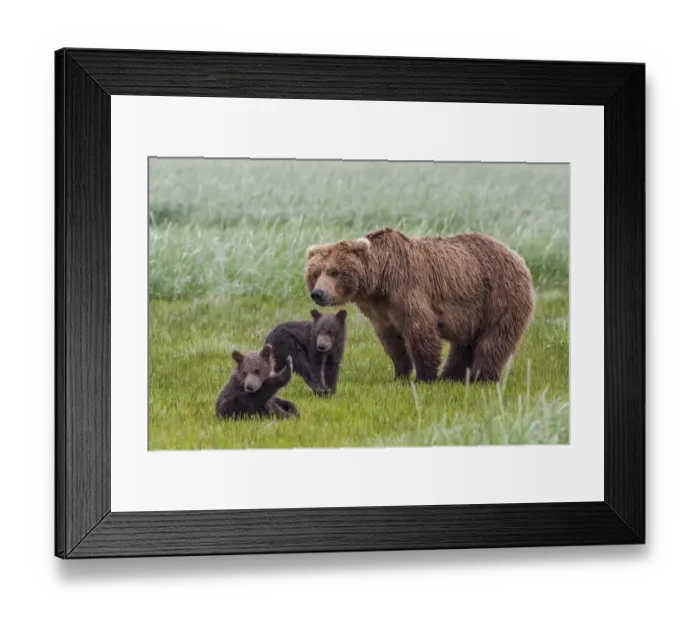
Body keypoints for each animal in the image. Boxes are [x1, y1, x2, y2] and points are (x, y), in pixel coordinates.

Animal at [304, 226, 535, 384]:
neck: (379, 282)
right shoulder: (380, 312)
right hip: (473, 310)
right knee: (464, 343)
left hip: (499, 295)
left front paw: (424, 377)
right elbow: (392, 342)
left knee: (494, 339)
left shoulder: (407, 290)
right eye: (315, 273)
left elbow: (420, 332)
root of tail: (517, 256)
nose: (318, 293)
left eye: (334, 271)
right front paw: (400, 374)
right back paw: (452, 376)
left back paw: (482, 376)